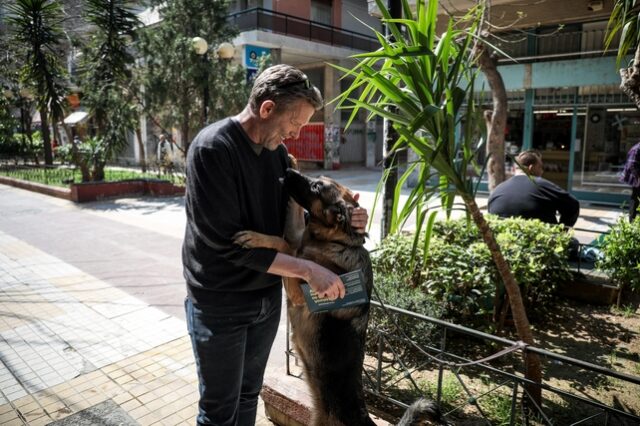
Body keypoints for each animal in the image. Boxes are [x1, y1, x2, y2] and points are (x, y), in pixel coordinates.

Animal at [232, 168, 448, 426]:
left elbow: (283, 243)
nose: (288, 170)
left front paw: (256, 238)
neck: (337, 240)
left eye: (316, 188)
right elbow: (290, 237)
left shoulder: (296, 290)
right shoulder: (299, 245)